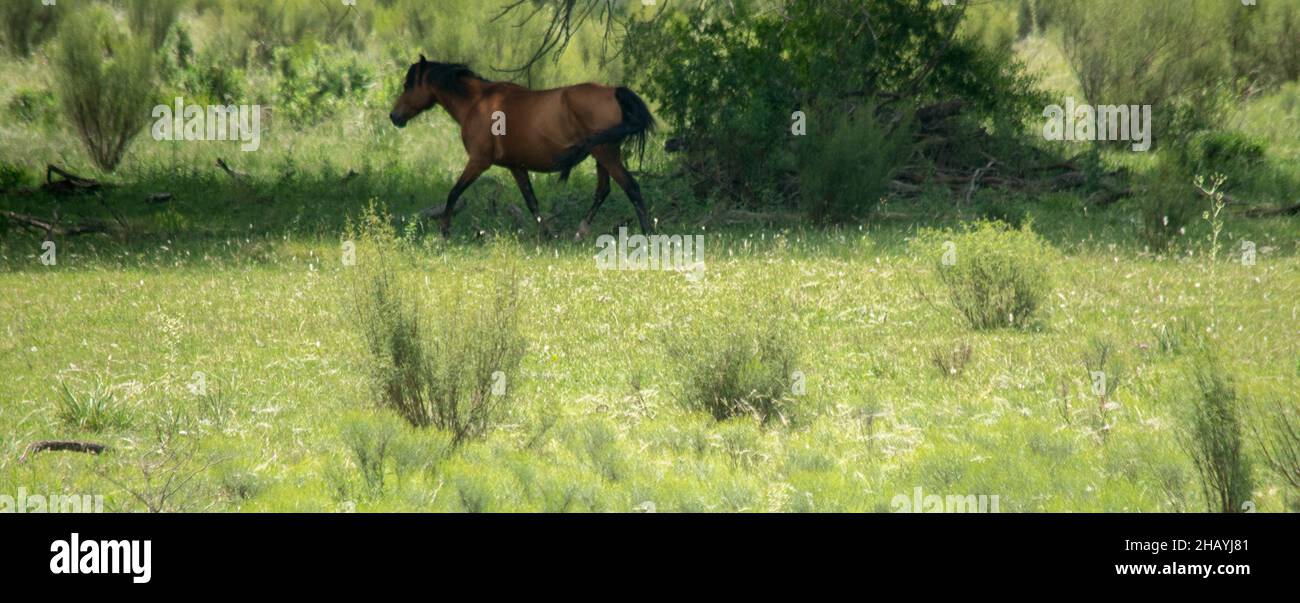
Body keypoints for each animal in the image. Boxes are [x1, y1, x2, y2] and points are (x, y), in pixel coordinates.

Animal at [389, 55, 657, 238]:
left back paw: (647, 233)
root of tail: (614, 91)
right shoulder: (517, 167)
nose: (394, 116)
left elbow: (453, 192)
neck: (477, 103)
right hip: (602, 156)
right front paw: (547, 235)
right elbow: (532, 202)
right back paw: (580, 232)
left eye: (407, 85)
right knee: (603, 191)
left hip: (606, 154)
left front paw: (444, 231)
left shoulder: (478, 161)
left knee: (631, 188)